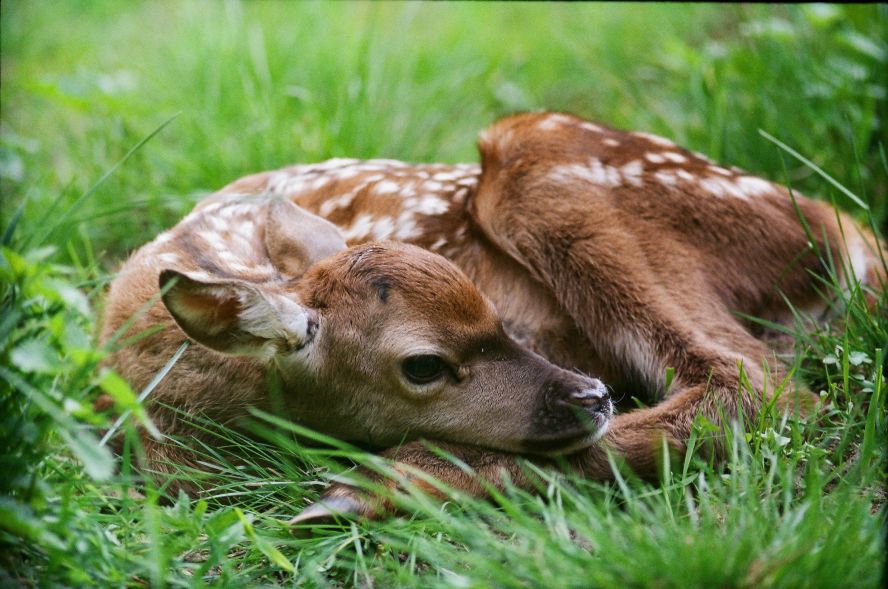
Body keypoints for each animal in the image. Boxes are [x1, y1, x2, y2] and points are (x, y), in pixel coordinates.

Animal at [102, 110, 880, 524]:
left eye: (499, 318)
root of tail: (838, 227)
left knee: (760, 385)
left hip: (539, 159)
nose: (592, 395)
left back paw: (375, 485)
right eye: (422, 365)